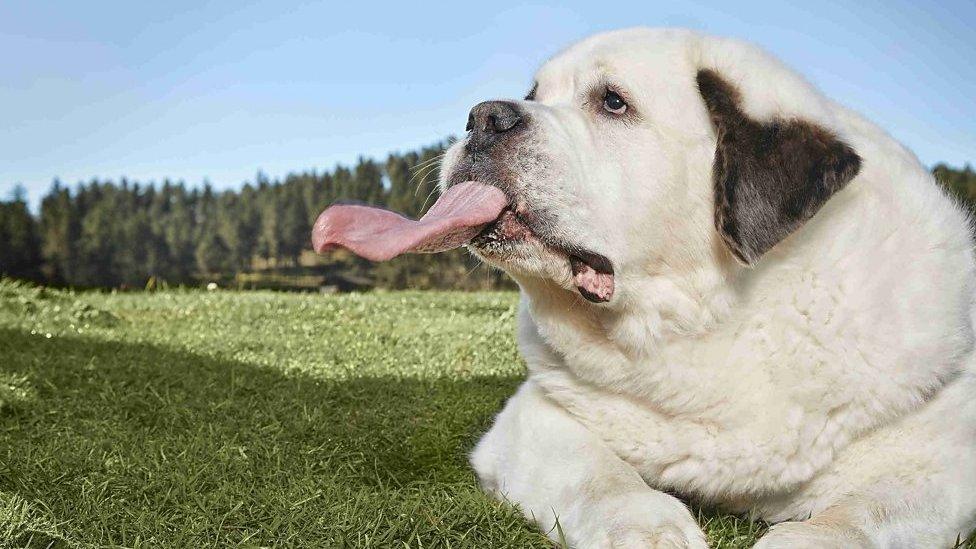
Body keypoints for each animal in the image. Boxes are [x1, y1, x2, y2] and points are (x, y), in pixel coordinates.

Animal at [438, 27, 976, 544]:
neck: (711, 314)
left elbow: (859, 513)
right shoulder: (533, 417)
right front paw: (649, 529)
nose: (484, 117)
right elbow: (599, 477)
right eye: (533, 94)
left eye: (613, 101)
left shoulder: (943, 455)